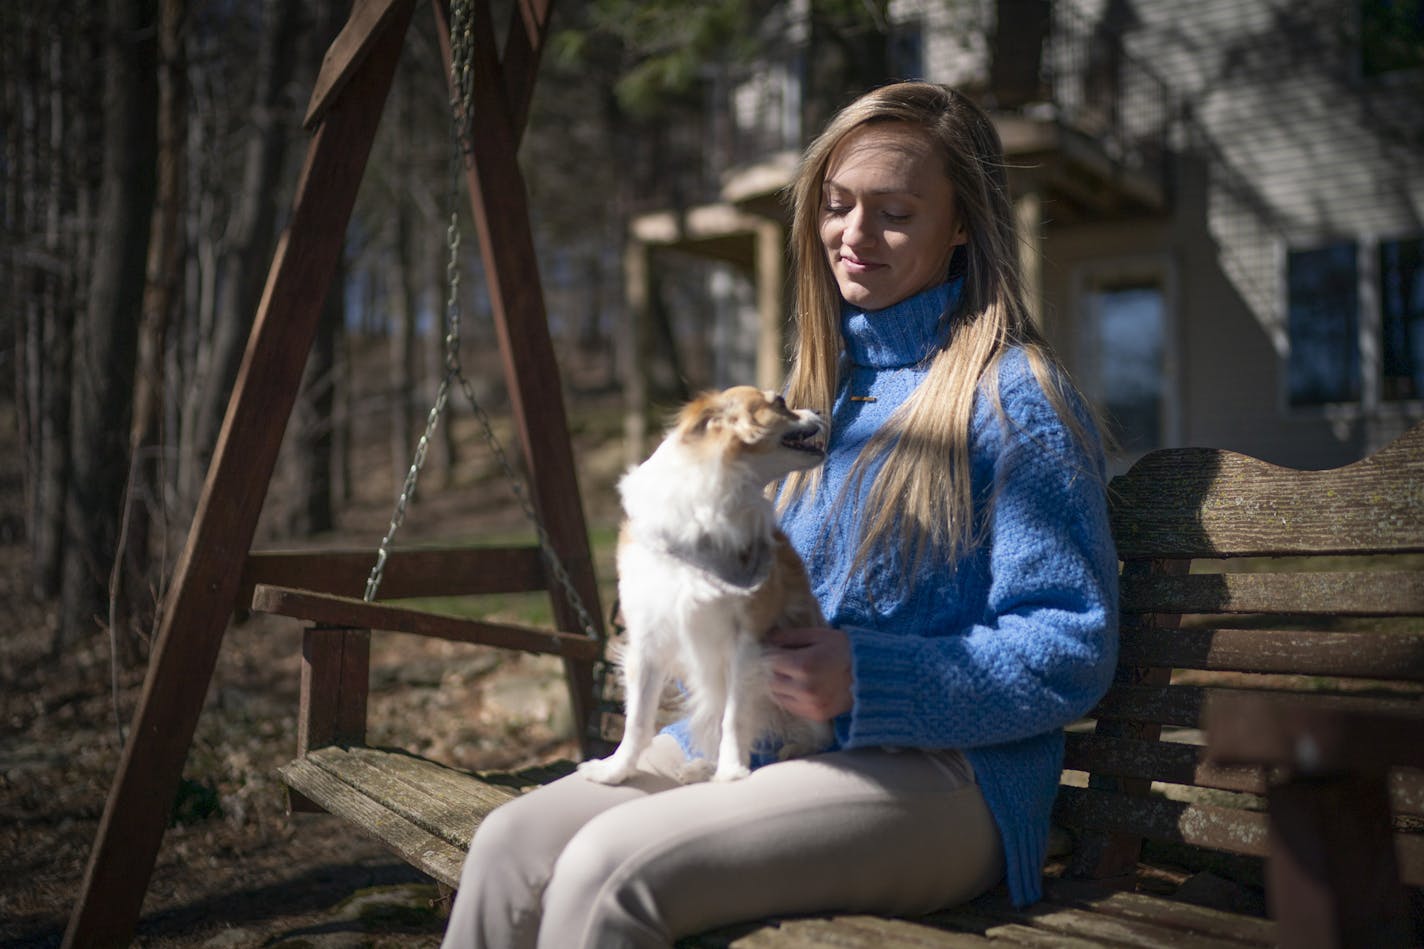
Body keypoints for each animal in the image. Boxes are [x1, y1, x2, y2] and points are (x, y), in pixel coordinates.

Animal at [578, 384, 831, 780]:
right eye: (780, 404)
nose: (819, 409)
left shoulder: (746, 643)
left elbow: (734, 718)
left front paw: (731, 770)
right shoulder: (647, 641)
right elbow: (637, 720)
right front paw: (615, 770)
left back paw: (790, 749)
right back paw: (699, 766)